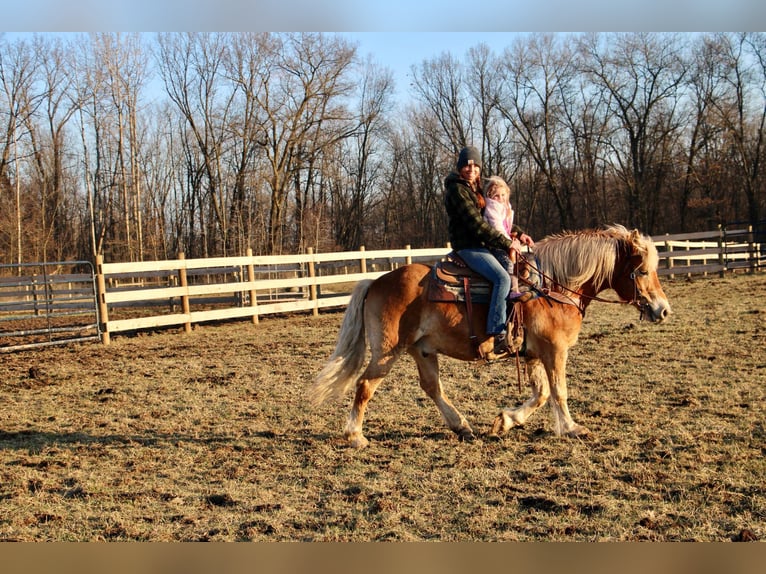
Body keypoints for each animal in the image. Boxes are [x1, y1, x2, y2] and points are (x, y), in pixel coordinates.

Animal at [312, 225, 672, 450]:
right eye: (642, 271)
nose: (663, 310)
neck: (551, 287)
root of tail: (375, 282)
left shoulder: (533, 354)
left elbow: (541, 394)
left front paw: (505, 421)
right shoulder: (554, 351)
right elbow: (559, 392)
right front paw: (571, 428)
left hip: (422, 350)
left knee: (432, 388)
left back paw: (461, 425)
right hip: (387, 351)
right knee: (365, 385)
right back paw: (355, 435)